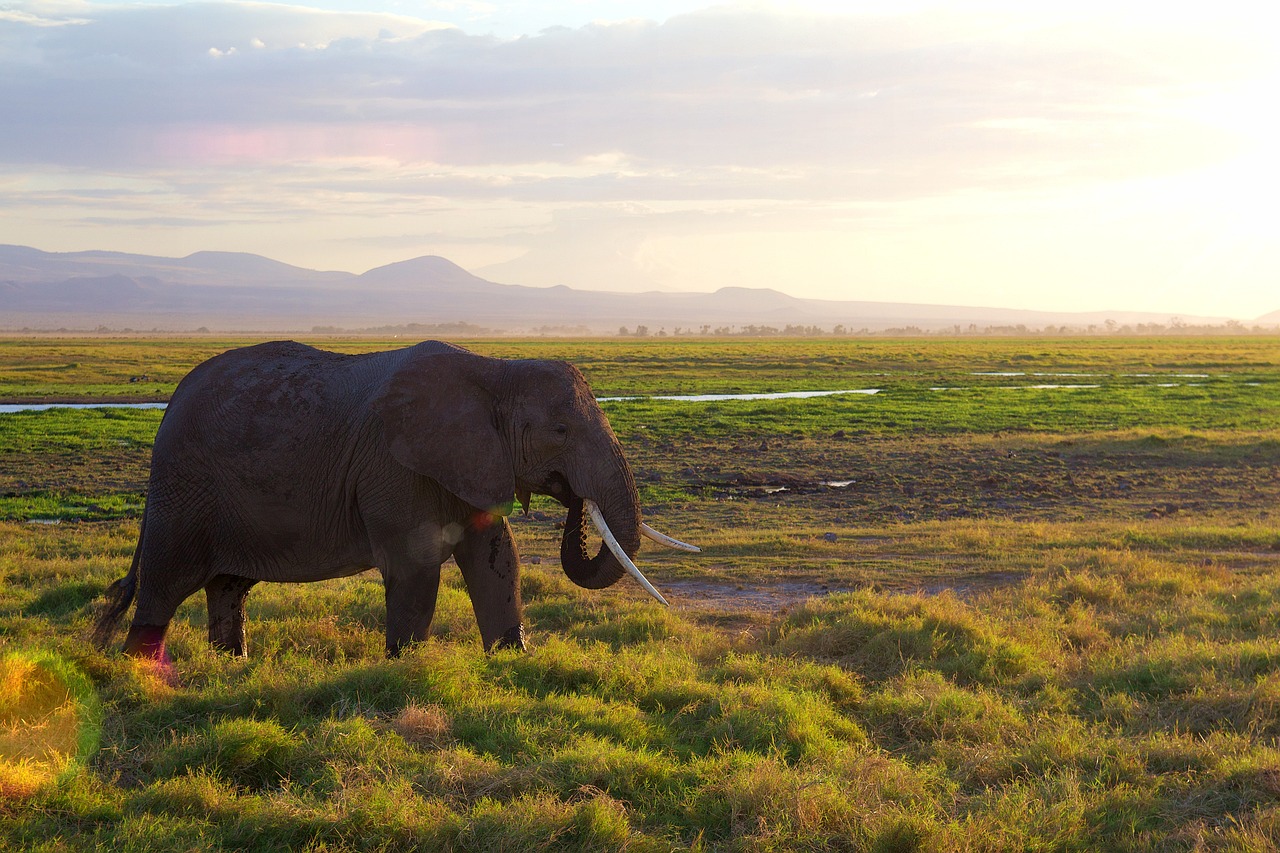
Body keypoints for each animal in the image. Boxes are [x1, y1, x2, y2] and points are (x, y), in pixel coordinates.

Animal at [91, 338, 696, 655]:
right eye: (562, 431)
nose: (572, 501)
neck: (494, 369)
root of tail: (171, 401)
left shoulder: (468, 460)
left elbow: (498, 560)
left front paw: (513, 662)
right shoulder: (393, 463)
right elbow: (416, 569)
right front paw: (405, 667)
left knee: (228, 586)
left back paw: (232, 666)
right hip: (182, 486)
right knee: (164, 586)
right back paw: (141, 674)